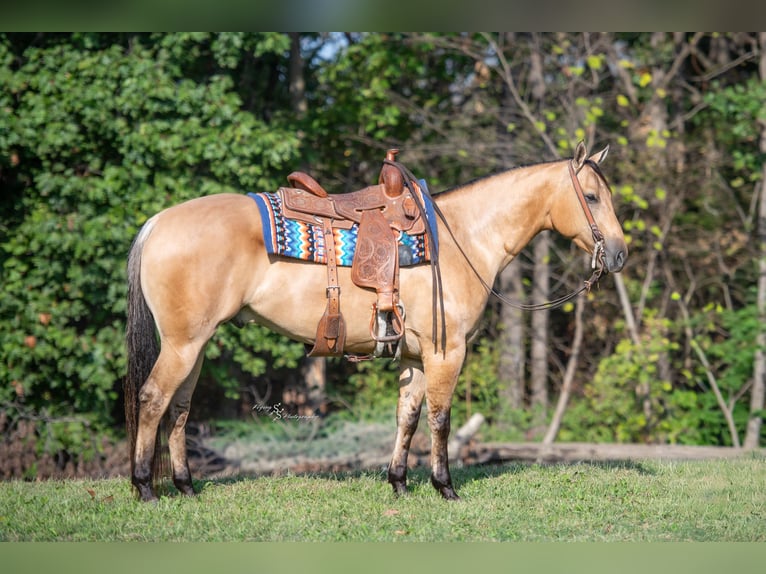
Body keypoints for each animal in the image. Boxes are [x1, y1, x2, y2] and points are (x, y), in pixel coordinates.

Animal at [124, 141, 627, 502]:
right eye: (590, 196)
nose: (621, 254)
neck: (464, 239)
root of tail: (156, 223)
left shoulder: (417, 356)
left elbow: (408, 415)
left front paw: (399, 481)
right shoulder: (447, 352)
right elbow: (440, 419)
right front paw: (445, 486)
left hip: (196, 345)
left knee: (180, 407)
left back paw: (186, 487)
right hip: (183, 344)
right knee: (153, 399)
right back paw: (145, 487)